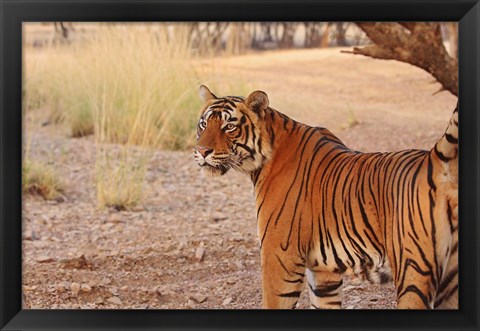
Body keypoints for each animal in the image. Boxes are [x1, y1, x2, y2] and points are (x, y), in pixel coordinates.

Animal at [194, 86, 458, 312]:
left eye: (229, 126)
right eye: (203, 124)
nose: (201, 151)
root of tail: (435, 158)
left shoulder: (280, 256)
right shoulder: (324, 272)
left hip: (414, 271)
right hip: (450, 281)